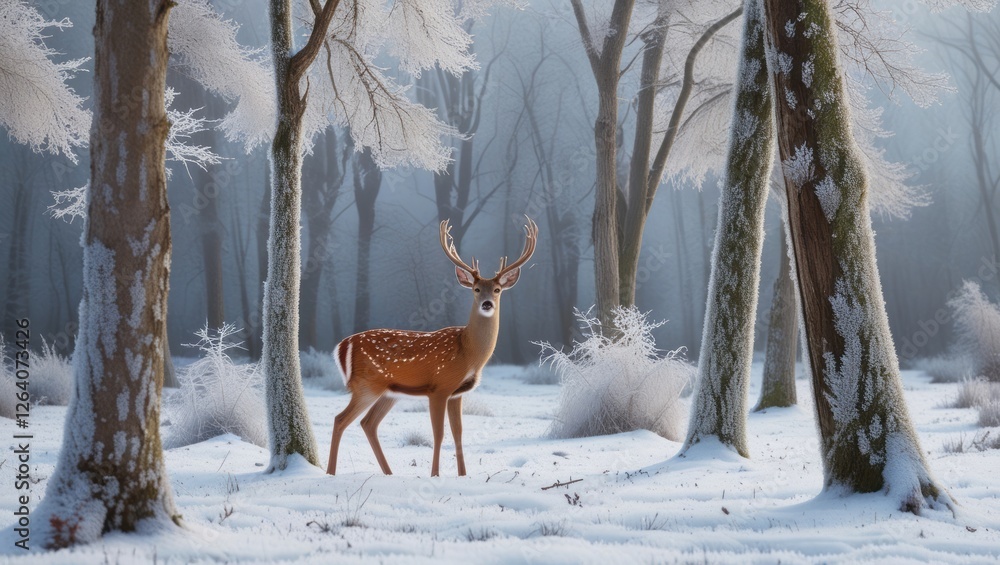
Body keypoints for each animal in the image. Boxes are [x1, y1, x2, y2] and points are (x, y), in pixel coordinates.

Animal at [326, 217, 538, 477]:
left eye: (497, 290)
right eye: (476, 289)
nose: (487, 304)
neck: (468, 353)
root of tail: (342, 345)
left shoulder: (458, 392)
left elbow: (458, 433)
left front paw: (463, 475)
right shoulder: (439, 386)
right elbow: (439, 433)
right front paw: (435, 474)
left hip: (388, 391)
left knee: (368, 423)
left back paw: (389, 473)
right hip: (366, 384)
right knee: (340, 419)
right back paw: (330, 472)